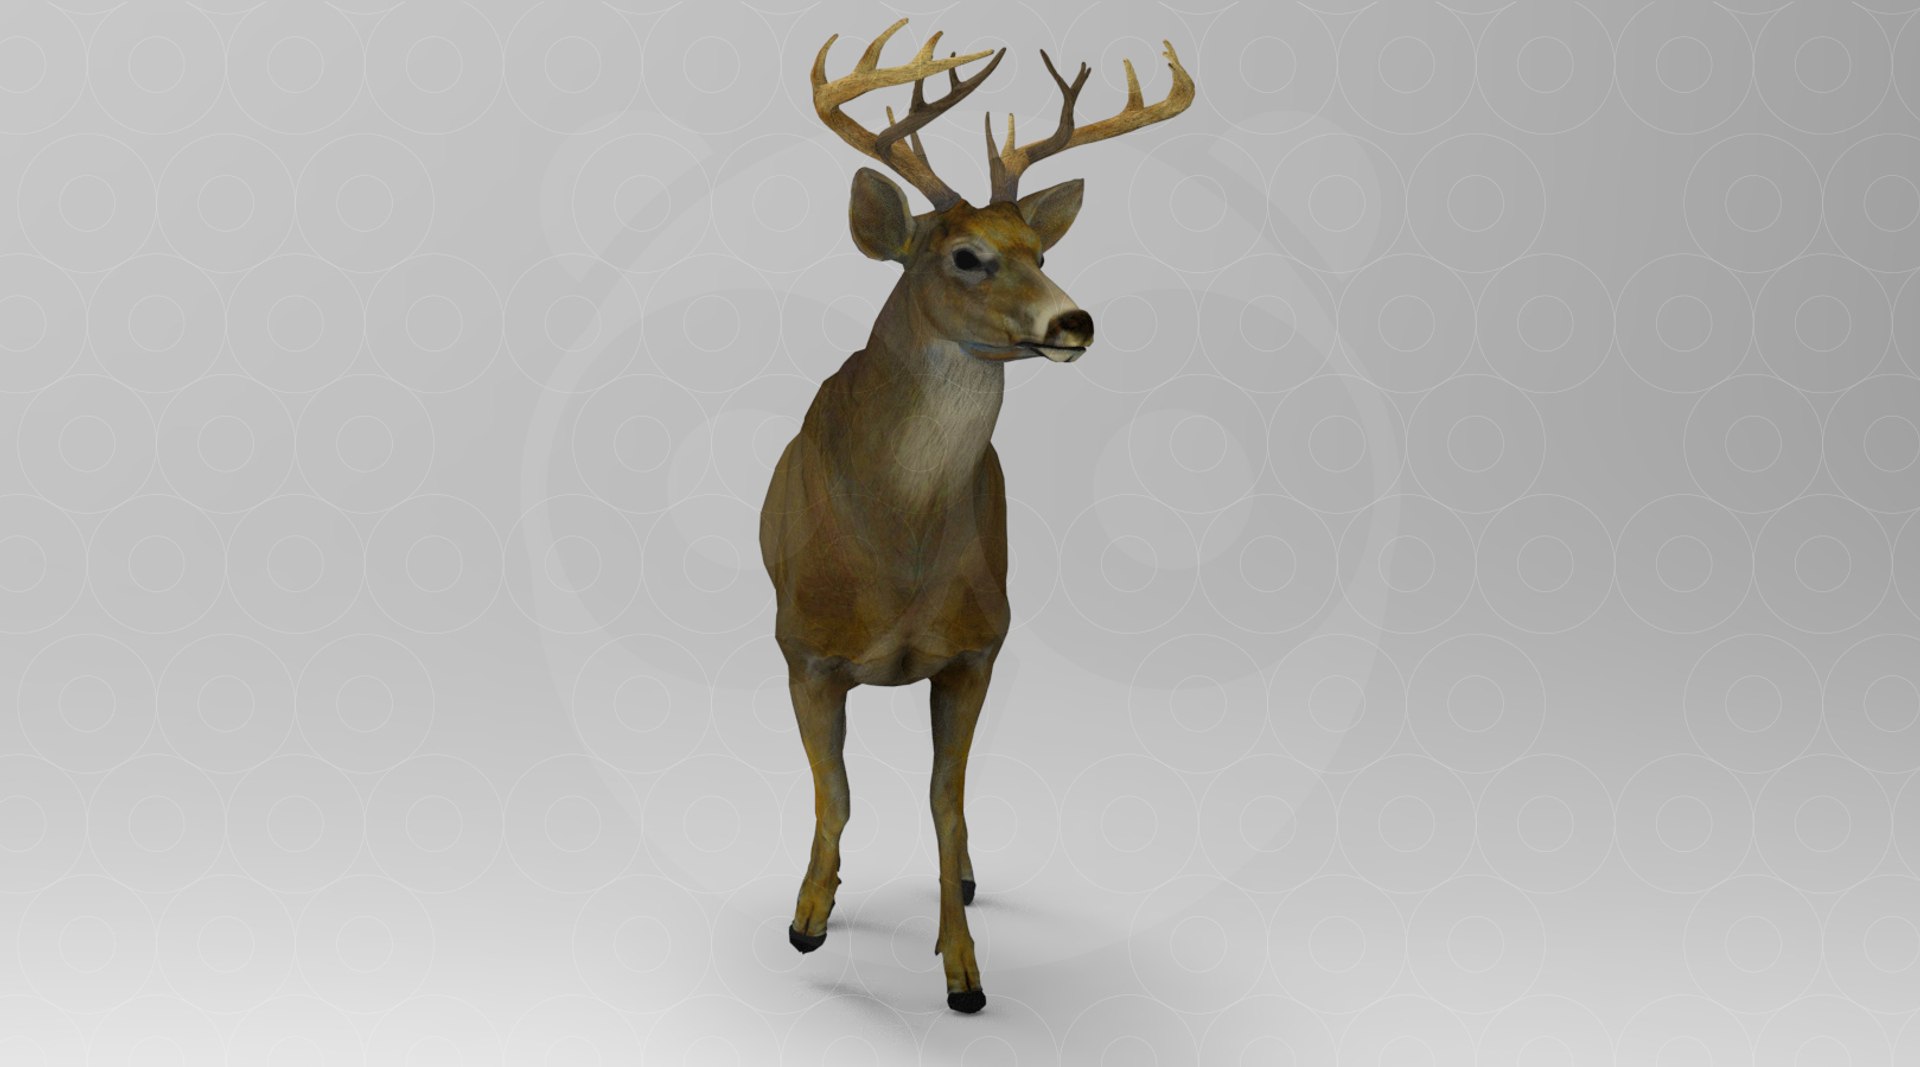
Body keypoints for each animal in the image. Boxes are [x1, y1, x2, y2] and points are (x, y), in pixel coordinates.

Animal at [757, 18, 1194, 1013]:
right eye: (966, 255)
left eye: (1041, 248)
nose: (1074, 321)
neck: (898, 553)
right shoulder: (801, 648)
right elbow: (835, 795)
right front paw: (809, 915)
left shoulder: (977, 649)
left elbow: (944, 804)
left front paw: (962, 970)